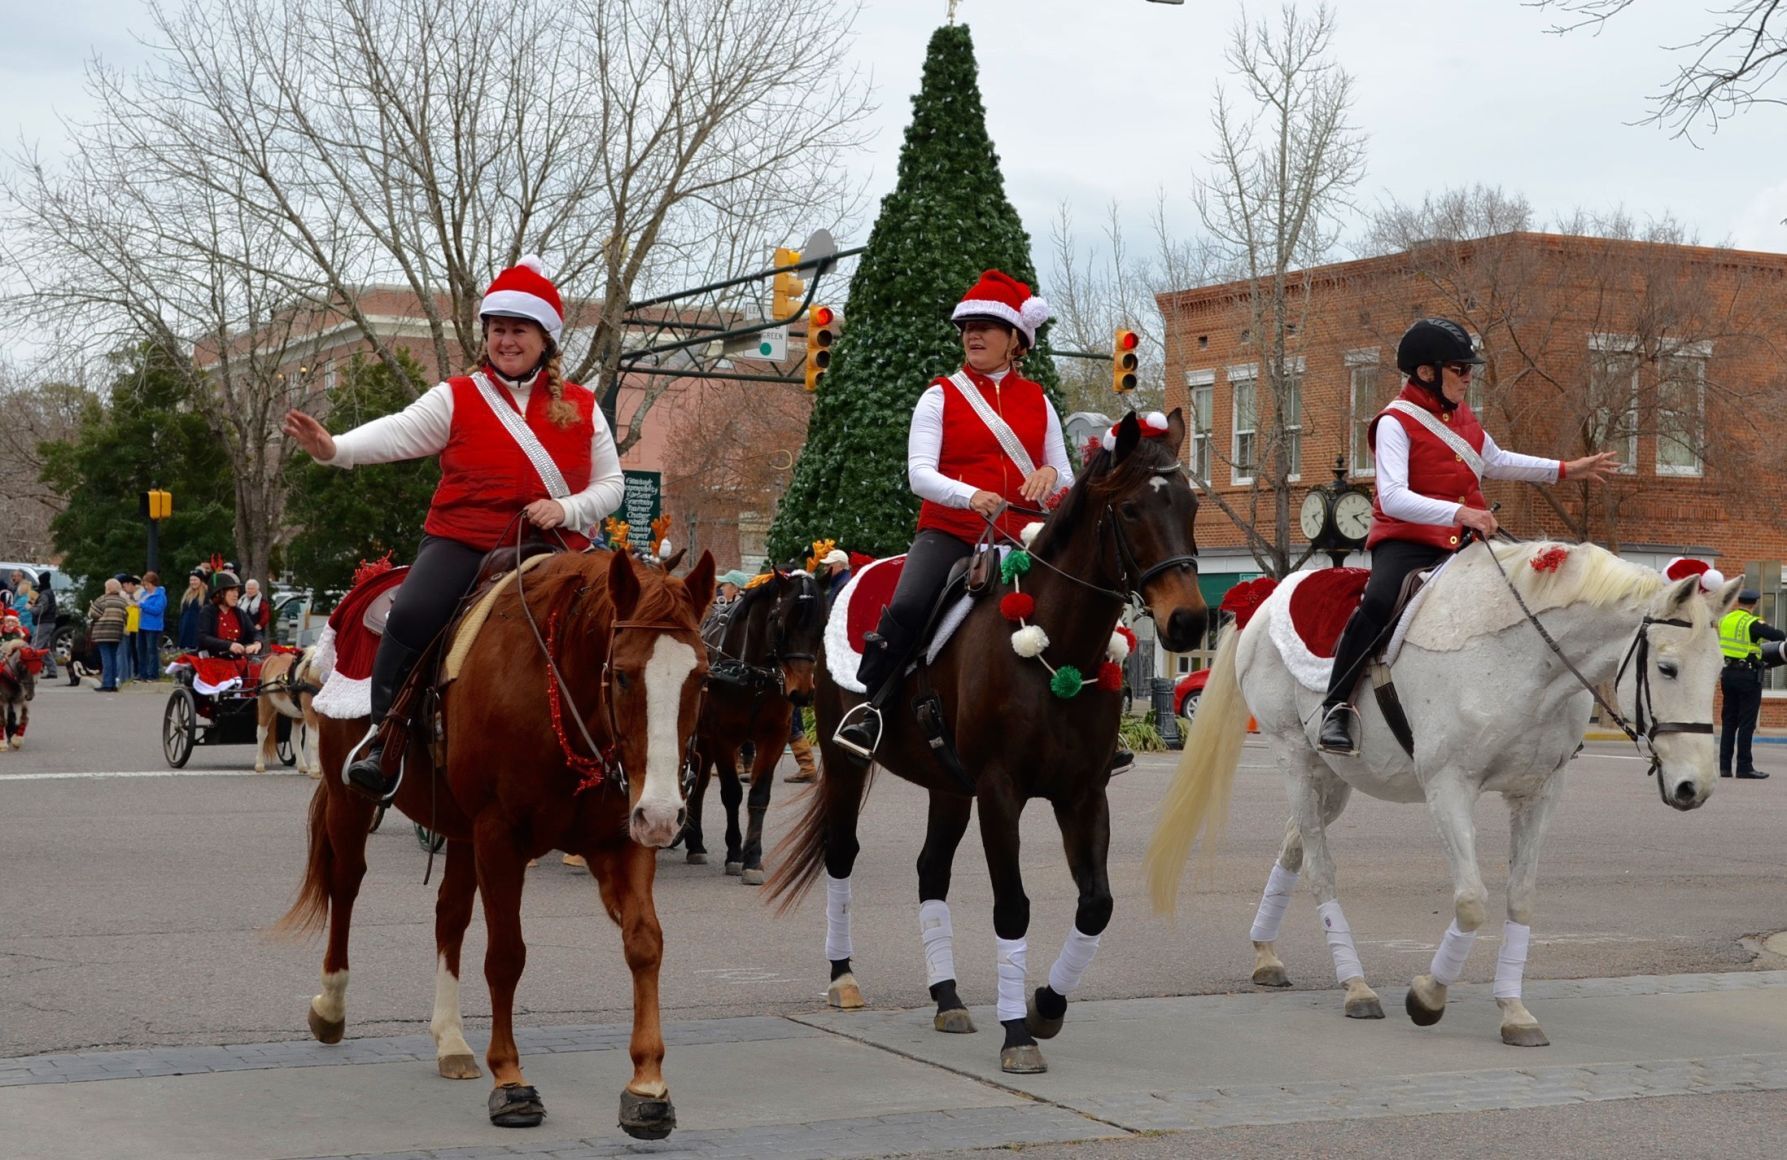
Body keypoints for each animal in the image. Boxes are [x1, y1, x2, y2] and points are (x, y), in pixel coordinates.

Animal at [278, 546, 711, 1136]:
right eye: (622, 676)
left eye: (702, 679)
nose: (667, 815)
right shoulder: (499, 834)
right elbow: (506, 955)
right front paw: (510, 1081)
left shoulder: (623, 837)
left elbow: (644, 943)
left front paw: (647, 1086)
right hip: (353, 798)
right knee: (345, 886)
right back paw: (331, 1006)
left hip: (460, 830)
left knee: (449, 916)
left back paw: (451, 1040)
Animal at [682, 568, 822, 879]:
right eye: (781, 623)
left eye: (822, 625)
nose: (801, 692)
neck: (752, 675)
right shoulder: (723, 736)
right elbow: (731, 793)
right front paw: (735, 854)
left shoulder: (774, 735)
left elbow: (759, 795)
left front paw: (753, 857)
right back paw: (693, 842)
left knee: (698, 781)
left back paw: (694, 840)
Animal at [1143, 543, 1744, 1050]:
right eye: (1666, 667)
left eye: (1721, 668)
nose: (1695, 786)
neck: (1523, 659)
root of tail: (1264, 601)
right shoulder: (1449, 786)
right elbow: (1472, 901)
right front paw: (1428, 997)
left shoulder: (1539, 793)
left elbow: (1520, 898)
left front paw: (1514, 1012)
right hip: (1294, 759)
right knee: (1319, 868)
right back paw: (1356, 986)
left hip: (1331, 779)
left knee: (1292, 847)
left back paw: (1267, 954)